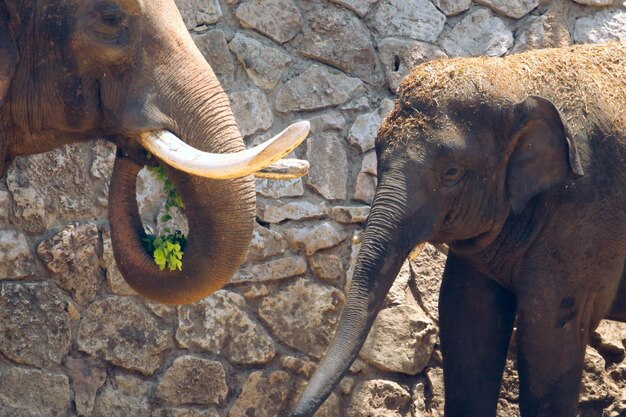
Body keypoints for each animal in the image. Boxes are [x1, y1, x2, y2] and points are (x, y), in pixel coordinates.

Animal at [292, 43, 624, 416]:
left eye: (450, 172)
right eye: (377, 152)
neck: (517, 78)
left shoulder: (586, 212)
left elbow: (549, 331)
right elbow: (467, 316)